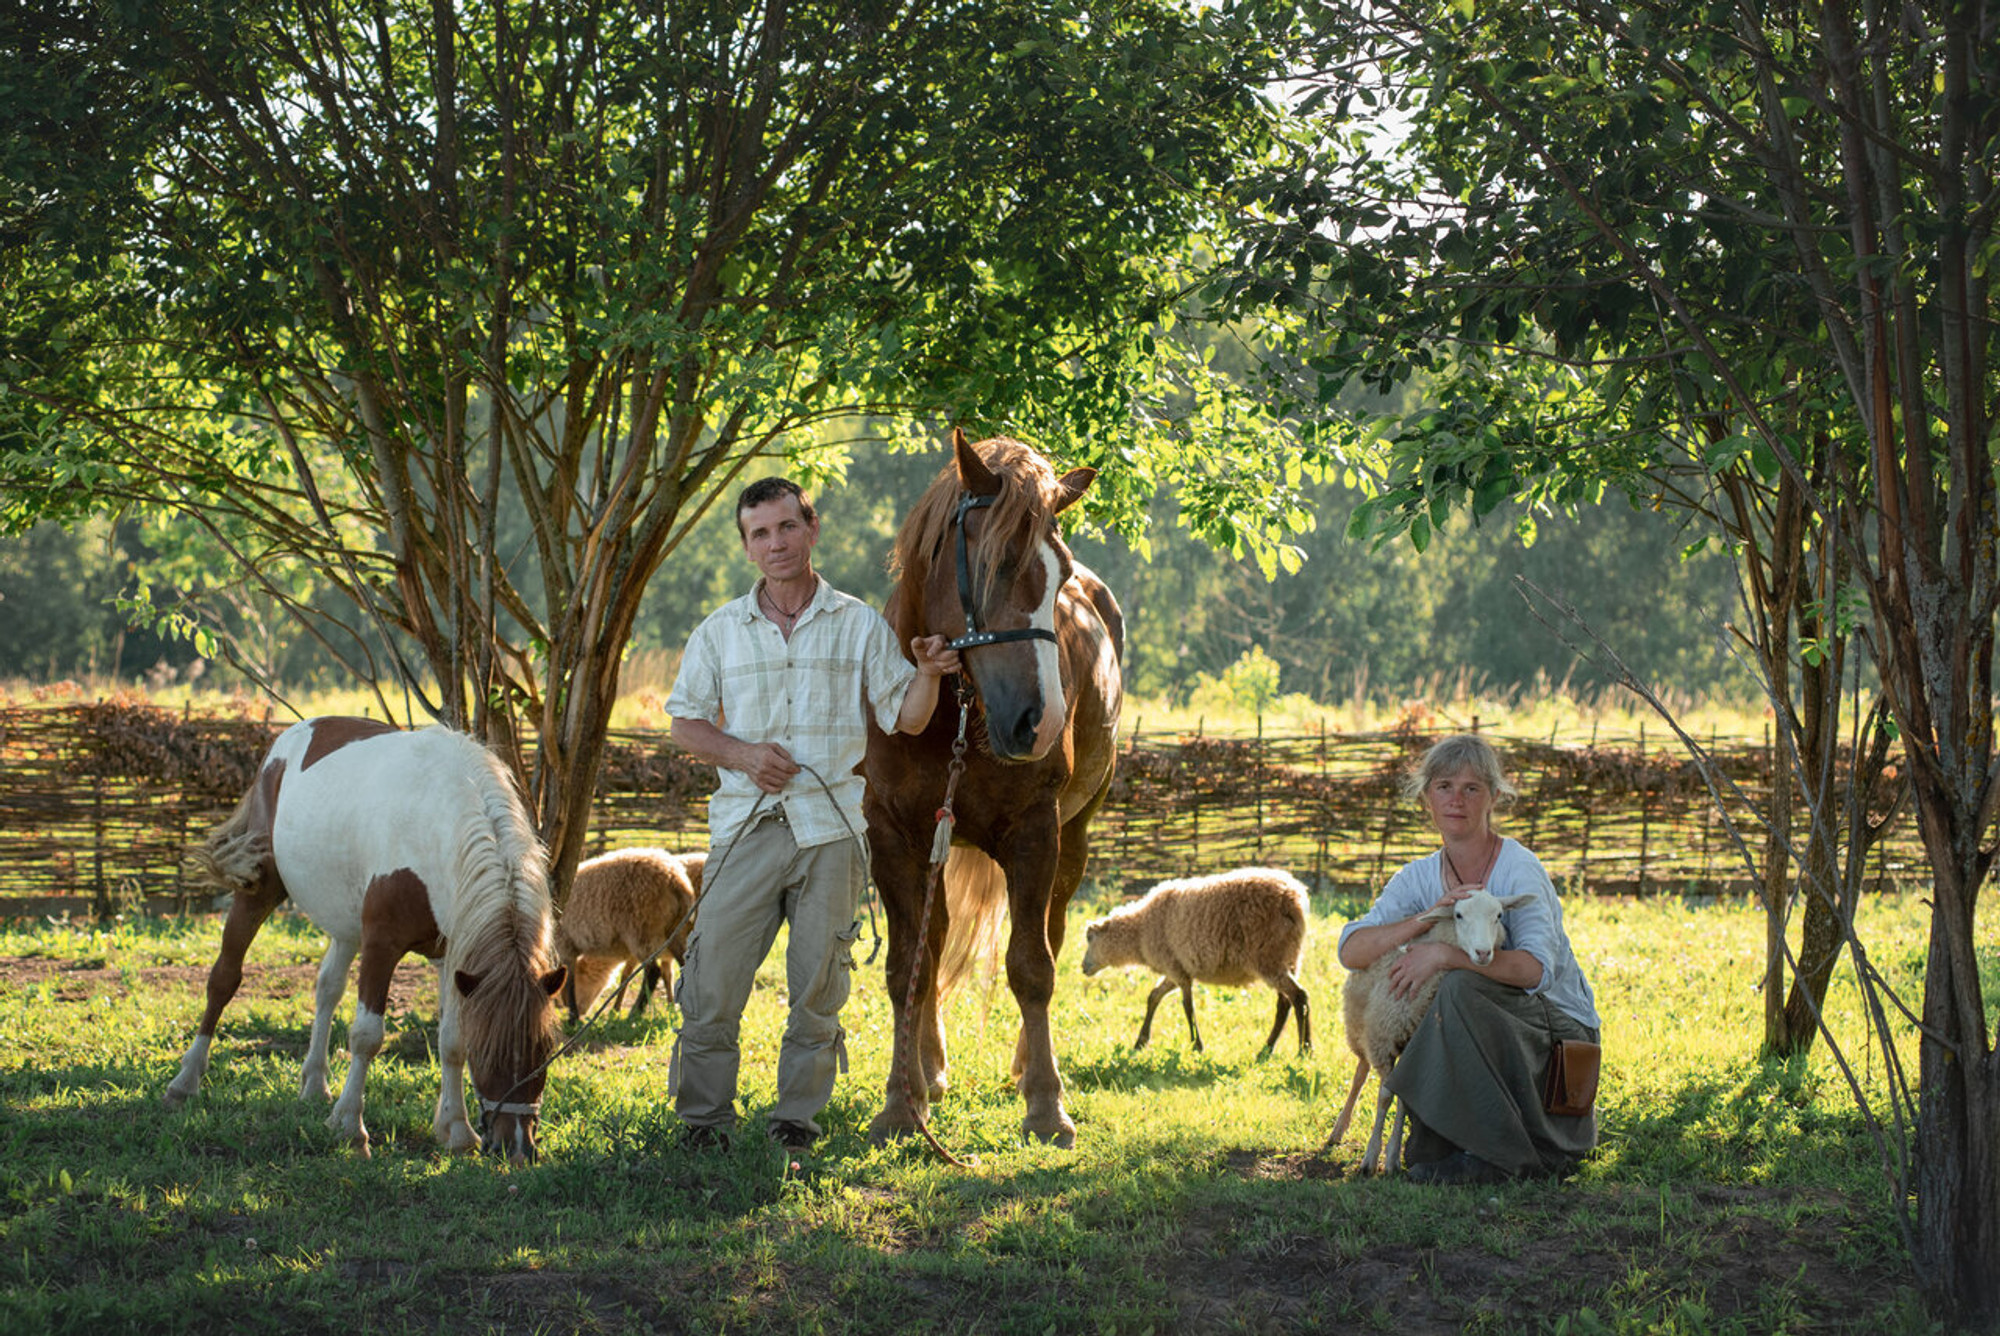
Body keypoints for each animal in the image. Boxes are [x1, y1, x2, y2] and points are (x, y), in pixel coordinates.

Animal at [161, 716, 572, 1160]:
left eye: (545, 1050)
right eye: (488, 1052)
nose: (516, 1146)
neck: (437, 824)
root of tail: (291, 736)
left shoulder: (455, 953)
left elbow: (451, 1041)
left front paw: (456, 1129)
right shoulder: (381, 946)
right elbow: (367, 1036)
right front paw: (350, 1127)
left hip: (344, 925)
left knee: (327, 988)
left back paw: (315, 1082)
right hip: (261, 889)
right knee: (224, 979)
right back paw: (185, 1081)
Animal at [556, 844, 712, 1024]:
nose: (563, 1005)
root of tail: (676, 880)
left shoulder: (565, 943)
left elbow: (570, 981)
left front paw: (573, 1019)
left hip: (640, 931)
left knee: (652, 971)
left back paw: (634, 1013)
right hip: (674, 930)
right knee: (683, 965)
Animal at [868, 430, 1128, 1152]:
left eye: (1061, 576)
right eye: (997, 564)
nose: (1038, 722)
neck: (950, 714)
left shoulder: (1035, 833)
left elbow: (1032, 965)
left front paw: (1046, 1105)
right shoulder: (891, 837)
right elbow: (907, 965)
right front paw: (901, 1102)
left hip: (1073, 840)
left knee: (1053, 934)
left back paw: (1022, 1066)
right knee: (933, 946)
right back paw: (928, 1070)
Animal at [1080, 868, 1312, 1064]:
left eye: (1090, 939)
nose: (1083, 967)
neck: (1140, 931)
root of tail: (1294, 898)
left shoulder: (1177, 970)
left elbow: (1187, 1006)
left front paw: (1197, 1047)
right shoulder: (1176, 969)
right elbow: (1154, 996)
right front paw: (1140, 1042)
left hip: (1269, 957)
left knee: (1298, 996)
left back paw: (1303, 1051)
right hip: (1289, 958)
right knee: (1285, 1003)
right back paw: (1269, 1050)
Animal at [1328, 892, 1528, 1176]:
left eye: (1499, 915)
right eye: (1458, 915)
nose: (1483, 953)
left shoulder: (1414, 1044)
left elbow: (1403, 1097)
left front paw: (1392, 1159)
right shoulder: (1385, 1040)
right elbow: (1385, 1098)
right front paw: (1370, 1158)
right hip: (1362, 1028)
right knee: (1360, 1074)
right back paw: (1338, 1129)